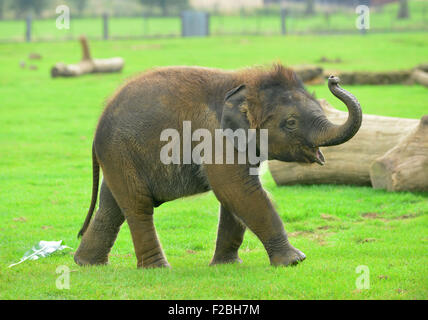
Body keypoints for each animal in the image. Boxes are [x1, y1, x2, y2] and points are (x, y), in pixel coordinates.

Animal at [73, 63, 362, 268]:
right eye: (290, 122)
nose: (333, 78)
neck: (243, 85)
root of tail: (98, 125)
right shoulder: (214, 136)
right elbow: (237, 189)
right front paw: (295, 261)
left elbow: (234, 196)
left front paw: (226, 265)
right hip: (120, 151)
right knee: (138, 205)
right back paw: (158, 268)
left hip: (119, 157)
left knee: (112, 205)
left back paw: (86, 264)